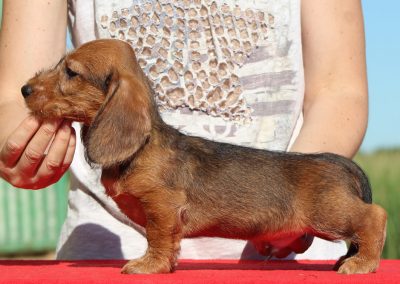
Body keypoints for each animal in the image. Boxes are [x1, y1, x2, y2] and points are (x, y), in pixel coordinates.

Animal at [21, 38, 384, 274]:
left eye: (71, 72)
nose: (24, 89)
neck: (142, 148)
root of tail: (338, 162)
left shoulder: (162, 207)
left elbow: (157, 237)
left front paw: (148, 265)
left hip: (330, 214)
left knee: (374, 216)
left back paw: (361, 263)